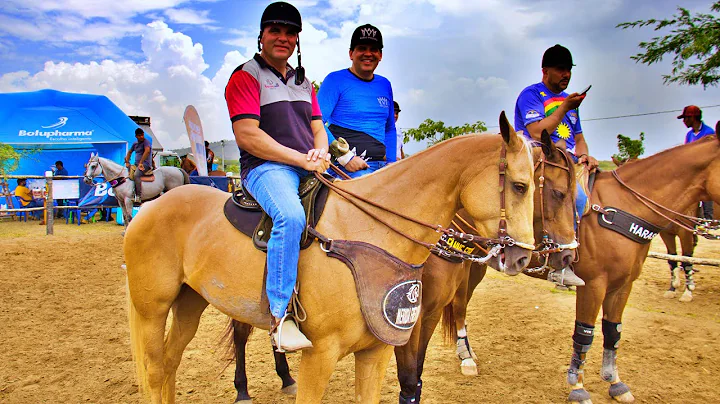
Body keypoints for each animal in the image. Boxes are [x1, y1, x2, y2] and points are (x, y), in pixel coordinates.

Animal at [125, 112, 540, 402]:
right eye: (520, 186)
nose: (522, 258)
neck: (369, 234)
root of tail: (147, 209)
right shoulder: (320, 355)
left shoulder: (376, 351)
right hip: (151, 311)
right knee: (155, 369)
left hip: (190, 304)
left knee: (169, 366)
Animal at [568, 124, 720, 404]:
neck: (623, 208)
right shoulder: (593, 284)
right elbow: (585, 333)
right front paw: (578, 387)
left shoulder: (622, 284)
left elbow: (613, 332)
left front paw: (615, 382)